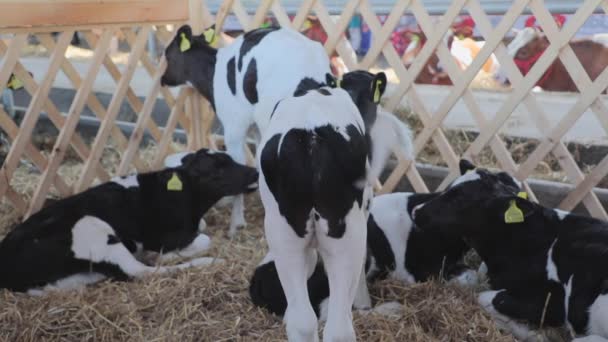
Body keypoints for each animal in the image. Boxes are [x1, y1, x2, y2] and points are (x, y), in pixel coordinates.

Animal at [0, 148, 258, 292]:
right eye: (218, 169)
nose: (255, 172)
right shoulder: (160, 236)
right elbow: (204, 239)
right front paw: (164, 254)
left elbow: (203, 229)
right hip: (93, 230)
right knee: (141, 272)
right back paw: (207, 262)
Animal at [162, 25, 332, 236]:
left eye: (167, 55)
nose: (162, 79)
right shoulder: (256, 130)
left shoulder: (234, 127)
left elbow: (239, 167)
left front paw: (236, 224)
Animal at [414, 162, 608, 340]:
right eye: (449, 187)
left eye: (460, 198)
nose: (416, 211)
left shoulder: (551, 302)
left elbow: (484, 297)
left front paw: (535, 334)